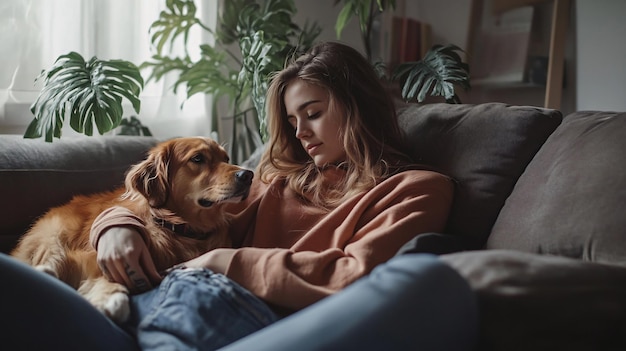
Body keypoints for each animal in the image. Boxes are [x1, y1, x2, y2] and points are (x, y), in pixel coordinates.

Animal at [10, 137, 251, 324]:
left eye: (226, 159)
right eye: (198, 158)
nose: (247, 175)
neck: (184, 231)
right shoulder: (90, 254)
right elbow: (106, 269)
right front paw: (110, 297)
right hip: (54, 237)